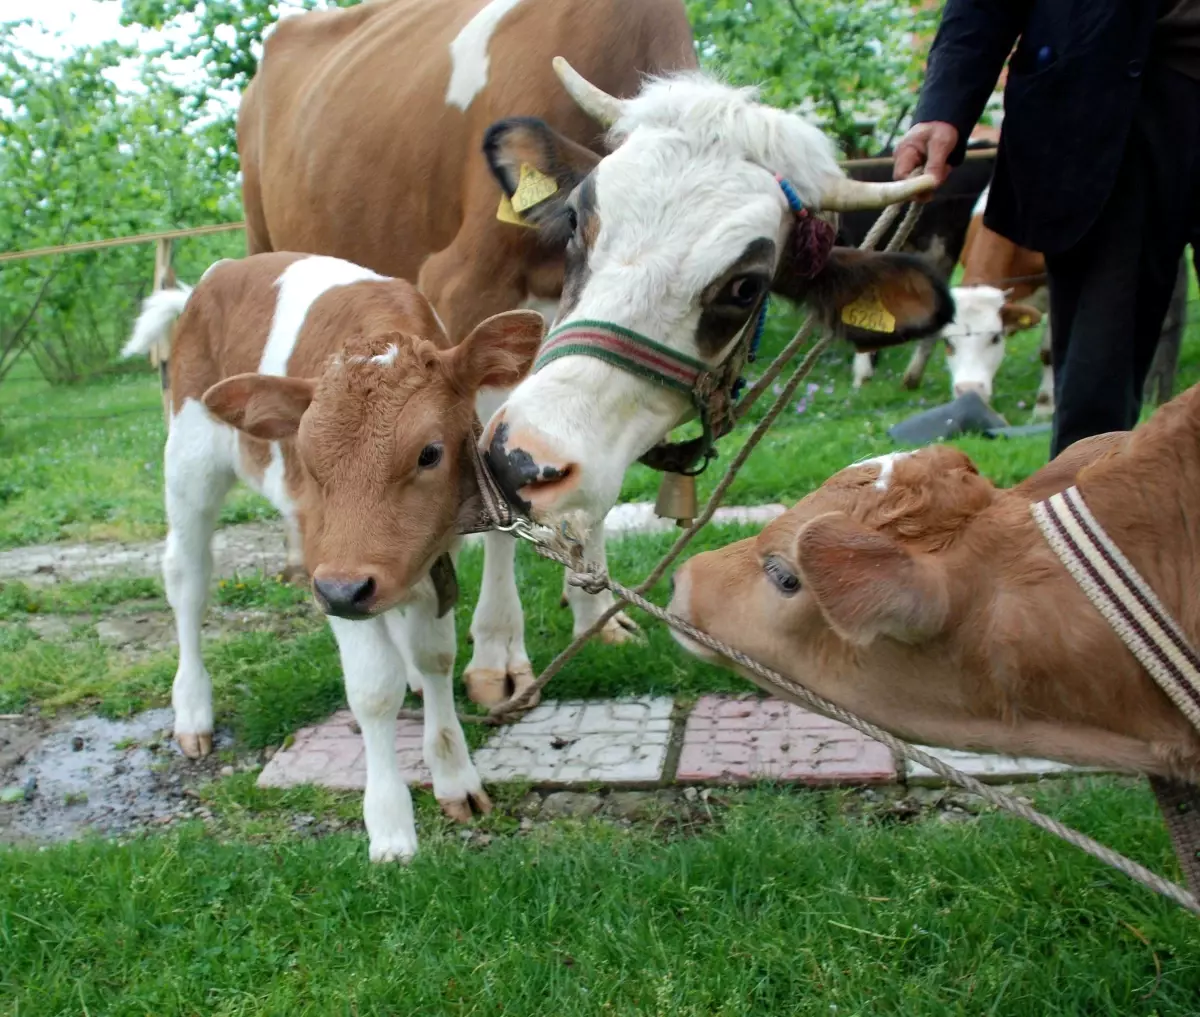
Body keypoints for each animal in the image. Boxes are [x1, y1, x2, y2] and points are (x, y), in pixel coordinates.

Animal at [119, 250, 542, 863]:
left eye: (429, 453)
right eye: (307, 454)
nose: (344, 591)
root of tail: (218, 273)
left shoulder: (426, 552)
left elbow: (436, 655)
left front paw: (454, 775)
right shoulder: (329, 563)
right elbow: (372, 689)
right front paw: (390, 825)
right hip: (189, 461)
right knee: (187, 578)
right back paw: (193, 708)